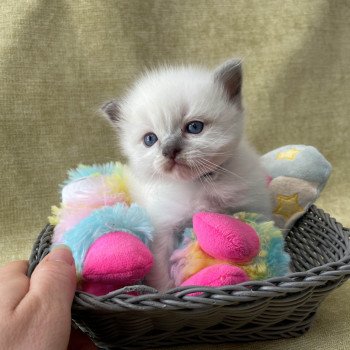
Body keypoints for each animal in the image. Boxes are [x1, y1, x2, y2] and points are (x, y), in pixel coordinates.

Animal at [101, 58, 270, 292]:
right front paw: (166, 293)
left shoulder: (254, 208)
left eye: (194, 127)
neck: (199, 183)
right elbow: (162, 275)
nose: (169, 151)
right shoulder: (162, 233)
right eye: (150, 139)